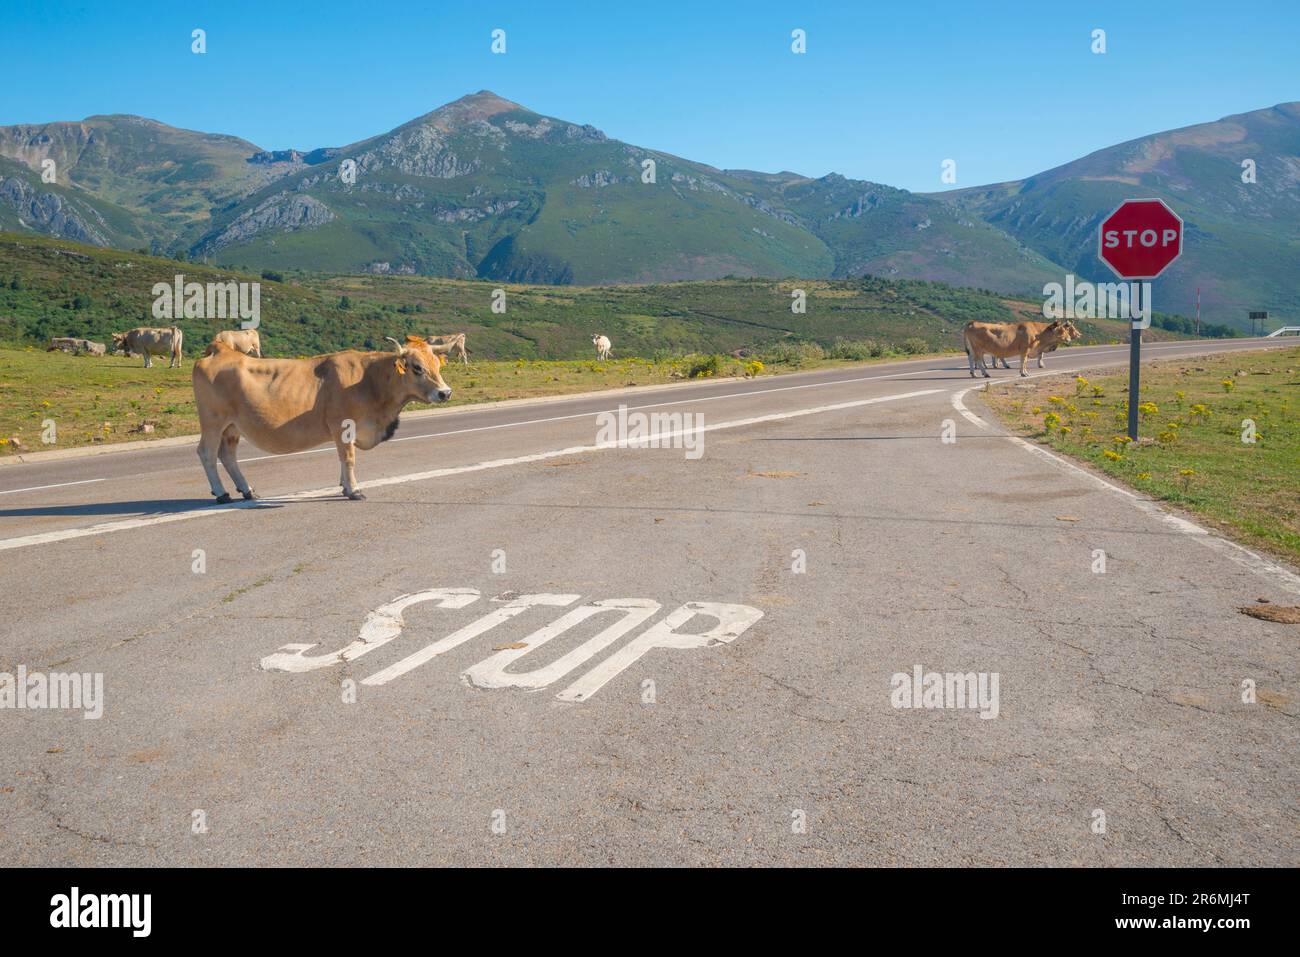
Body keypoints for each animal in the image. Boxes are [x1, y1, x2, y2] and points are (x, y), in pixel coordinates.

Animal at [189, 335, 457, 501]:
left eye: (438, 365)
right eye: (417, 367)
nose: (445, 392)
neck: (370, 380)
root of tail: (221, 350)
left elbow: (342, 459)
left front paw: (344, 485)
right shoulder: (344, 426)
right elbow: (348, 458)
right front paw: (354, 490)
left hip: (232, 427)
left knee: (228, 456)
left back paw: (247, 490)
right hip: (213, 421)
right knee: (207, 453)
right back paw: (221, 493)